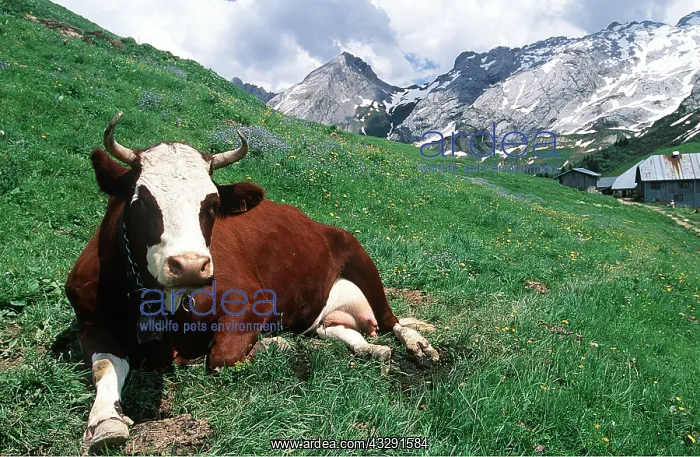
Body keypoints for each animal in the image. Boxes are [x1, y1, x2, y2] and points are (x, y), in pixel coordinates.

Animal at [65, 113, 439, 451]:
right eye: (141, 201)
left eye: (212, 204)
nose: (190, 266)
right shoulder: (90, 322)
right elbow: (106, 364)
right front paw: (106, 420)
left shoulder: (251, 300)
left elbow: (220, 357)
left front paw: (272, 344)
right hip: (325, 313)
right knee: (338, 330)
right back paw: (368, 350)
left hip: (360, 255)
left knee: (391, 320)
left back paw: (418, 345)